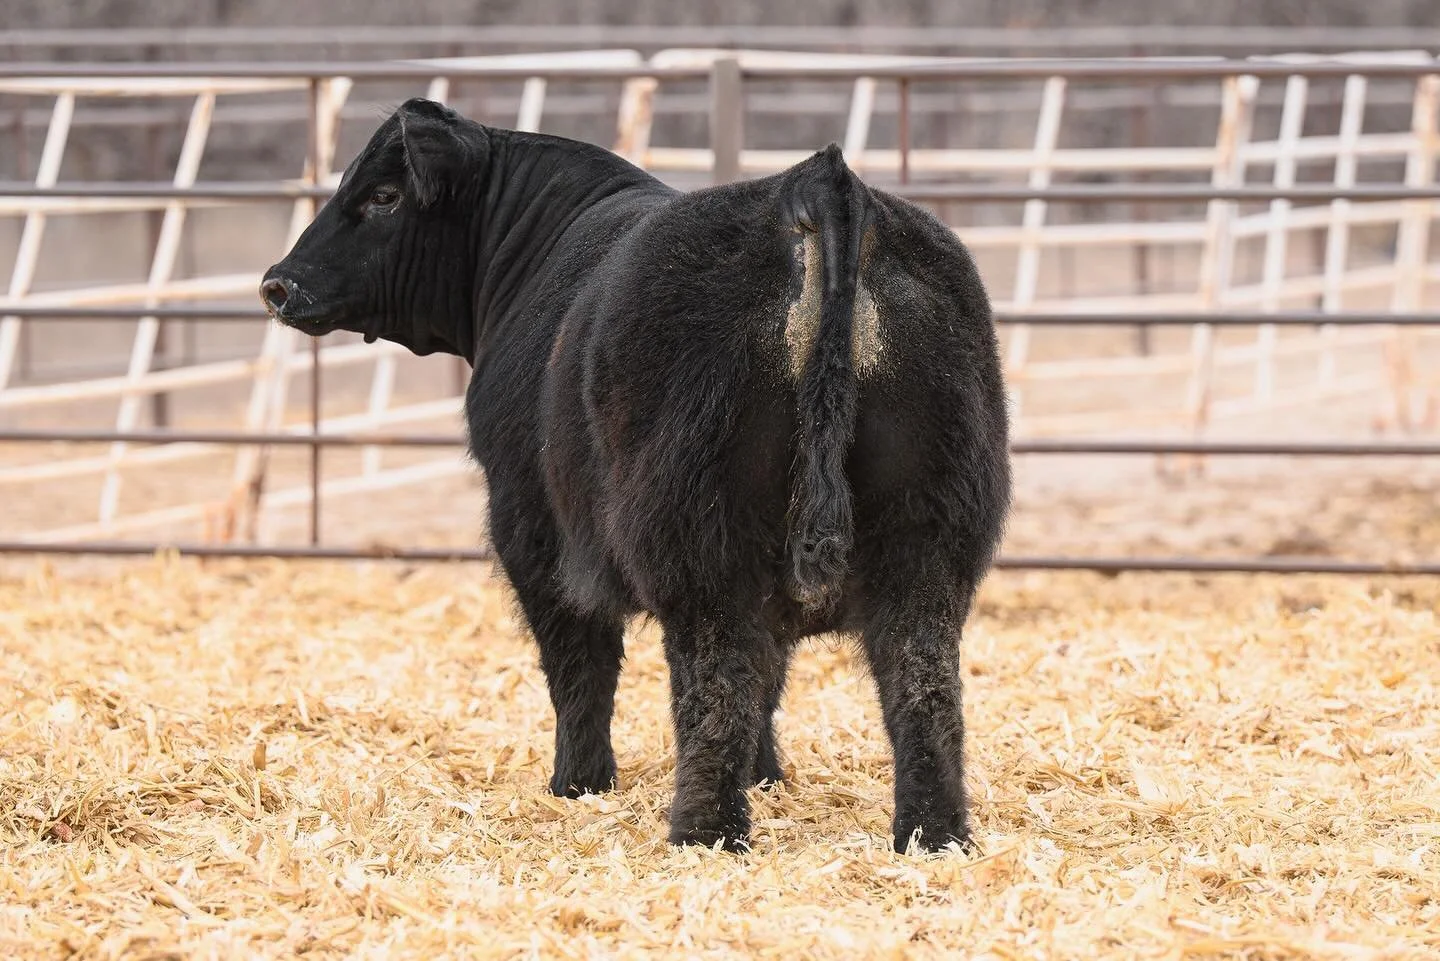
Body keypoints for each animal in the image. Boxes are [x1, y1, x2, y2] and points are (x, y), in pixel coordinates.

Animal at [261, 98, 1011, 854]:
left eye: (384, 195)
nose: (278, 283)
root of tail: (813, 183)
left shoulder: (531, 528)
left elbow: (580, 664)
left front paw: (579, 782)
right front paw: (768, 775)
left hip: (702, 542)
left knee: (717, 681)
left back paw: (703, 833)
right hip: (928, 543)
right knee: (920, 684)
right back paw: (932, 836)